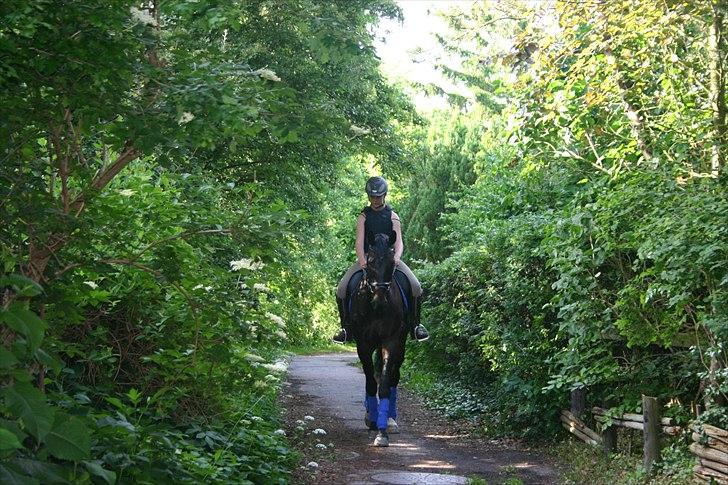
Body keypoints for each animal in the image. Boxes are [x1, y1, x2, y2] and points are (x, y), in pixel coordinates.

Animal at [348, 231, 410, 446]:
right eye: (371, 261)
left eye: (392, 262)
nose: (380, 299)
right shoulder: (363, 344)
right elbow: (370, 382)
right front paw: (371, 418)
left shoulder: (391, 342)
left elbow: (383, 384)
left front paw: (382, 432)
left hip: (401, 345)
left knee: (394, 377)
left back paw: (391, 420)